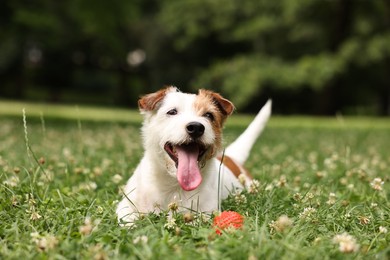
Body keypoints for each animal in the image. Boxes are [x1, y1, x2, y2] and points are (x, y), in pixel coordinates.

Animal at [116, 86, 272, 225]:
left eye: (209, 115)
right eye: (172, 112)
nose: (196, 127)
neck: (174, 184)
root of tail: (231, 158)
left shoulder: (206, 212)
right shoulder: (126, 206)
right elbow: (128, 220)